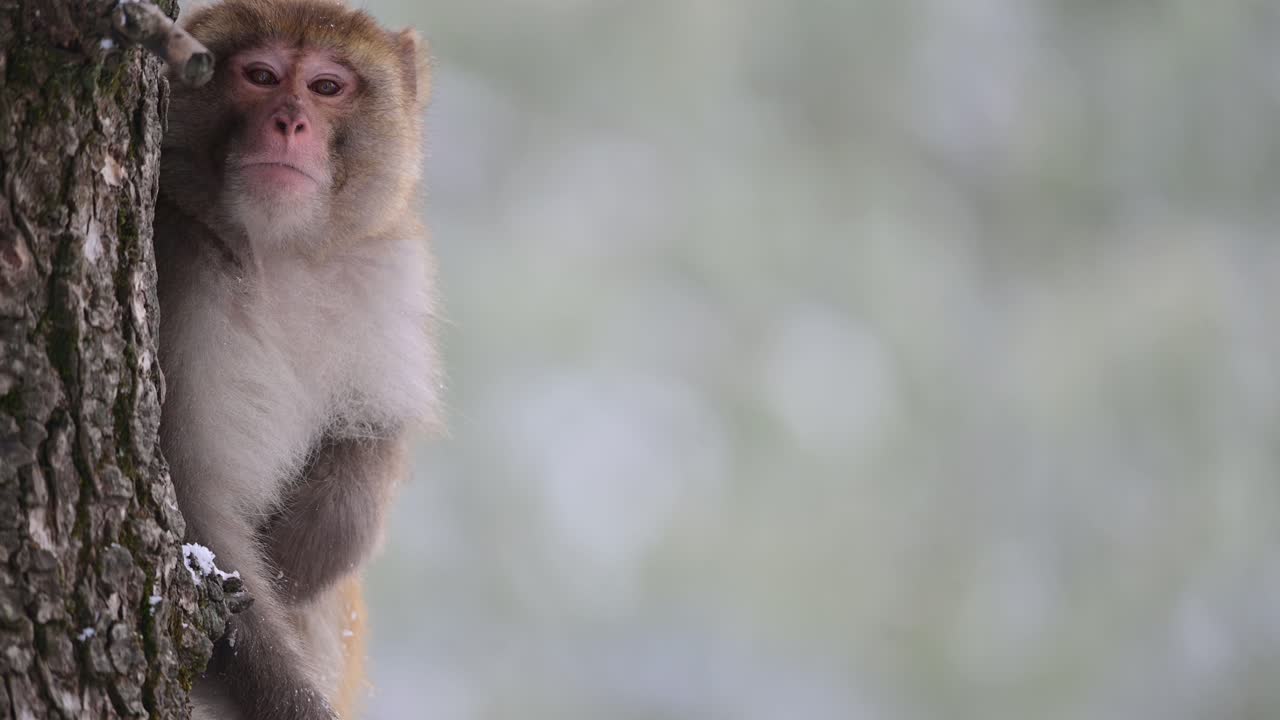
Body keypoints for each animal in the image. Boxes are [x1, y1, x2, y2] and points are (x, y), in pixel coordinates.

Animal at [152, 1, 439, 718]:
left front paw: (300, 554)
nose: (290, 121)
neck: (278, 252)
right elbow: (199, 506)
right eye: (261, 76)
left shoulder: (385, 271)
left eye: (327, 87)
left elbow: (369, 438)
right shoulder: (179, 265)